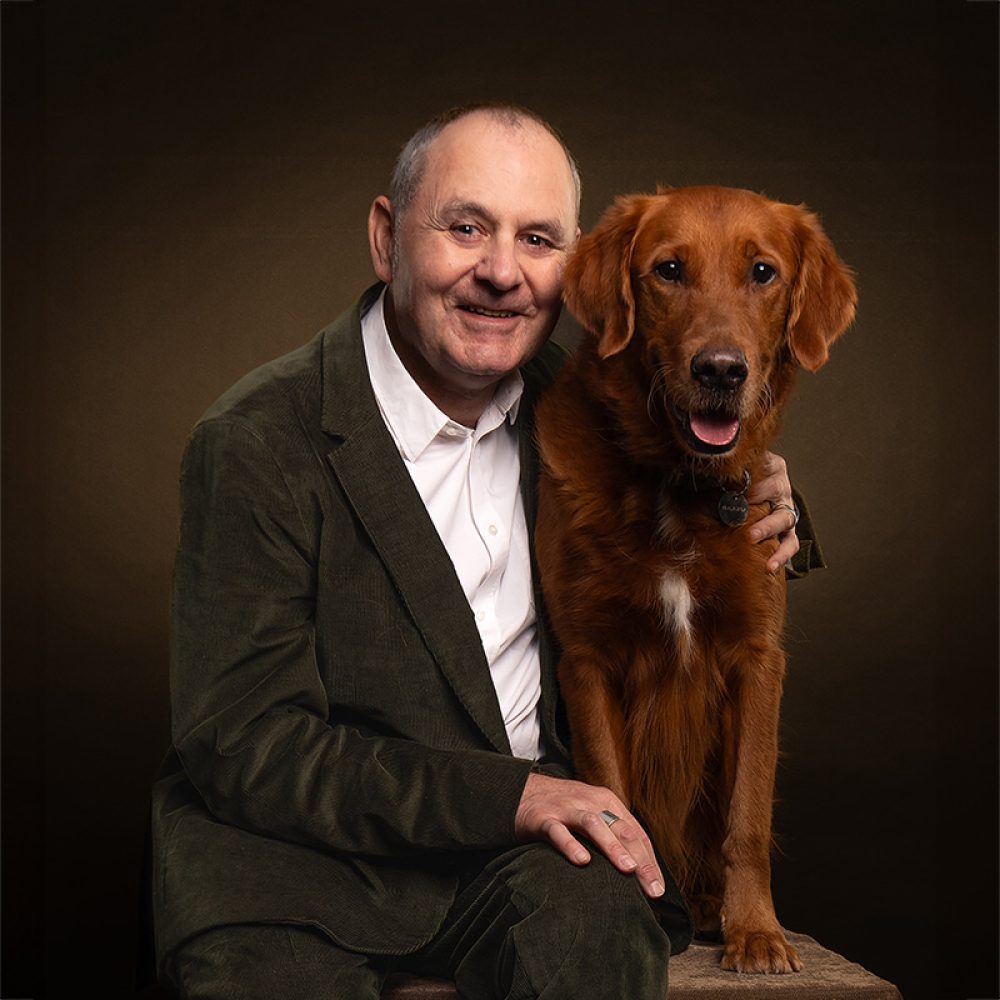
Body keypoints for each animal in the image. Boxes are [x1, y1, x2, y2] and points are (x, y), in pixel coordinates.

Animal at [536, 184, 856, 972]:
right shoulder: (586, 656)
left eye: (763, 272)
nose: (720, 370)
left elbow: (747, 813)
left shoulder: (757, 656)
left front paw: (757, 931)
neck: (676, 485)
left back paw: (712, 909)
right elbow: (611, 795)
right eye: (669, 270)